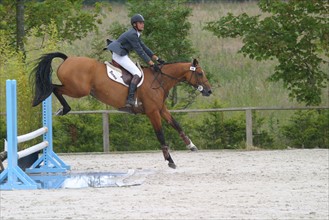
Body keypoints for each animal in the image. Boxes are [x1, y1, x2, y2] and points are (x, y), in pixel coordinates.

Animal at [29, 52, 211, 168]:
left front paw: (191, 145)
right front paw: (170, 160)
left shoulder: (161, 109)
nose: (209, 91)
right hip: (78, 90)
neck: (159, 80)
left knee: (55, 88)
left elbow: (177, 125)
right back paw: (62, 108)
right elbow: (160, 134)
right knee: (54, 88)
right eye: (200, 74)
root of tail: (68, 59)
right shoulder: (152, 112)